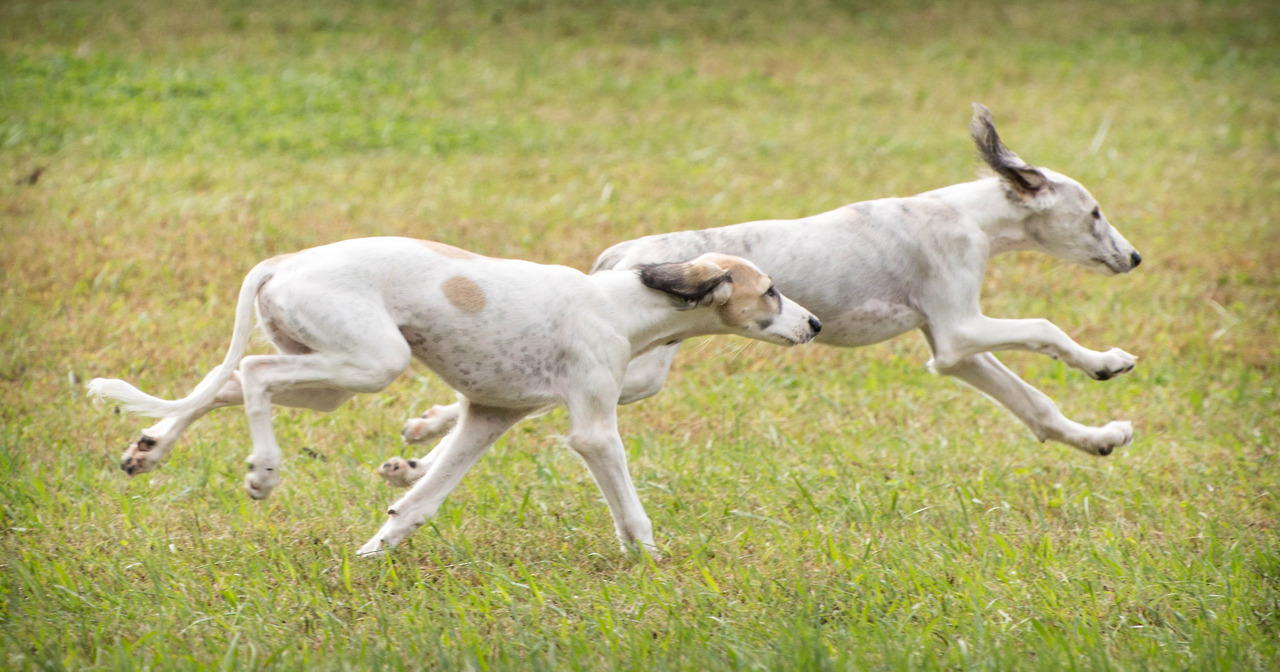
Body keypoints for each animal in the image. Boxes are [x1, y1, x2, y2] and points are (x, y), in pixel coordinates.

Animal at [87, 236, 819, 555]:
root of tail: (284, 261)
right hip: (369, 363)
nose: (813, 324)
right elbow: (631, 512)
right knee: (255, 373)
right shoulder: (592, 430)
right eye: (772, 291)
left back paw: (149, 447)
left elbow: (418, 500)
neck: (623, 304)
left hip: (328, 380)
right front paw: (655, 566)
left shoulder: (487, 417)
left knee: (230, 383)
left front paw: (373, 553)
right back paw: (263, 473)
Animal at [396, 102, 1141, 465]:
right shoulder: (960, 330)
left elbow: (1036, 407)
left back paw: (422, 443)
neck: (966, 215)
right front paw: (1107, 361)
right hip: (640, 372)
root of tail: (622, 256)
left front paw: (1098, 437)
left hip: (635, 371)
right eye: (1095, 212)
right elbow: (1044, 330)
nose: (1134, 258)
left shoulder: (953, 352)